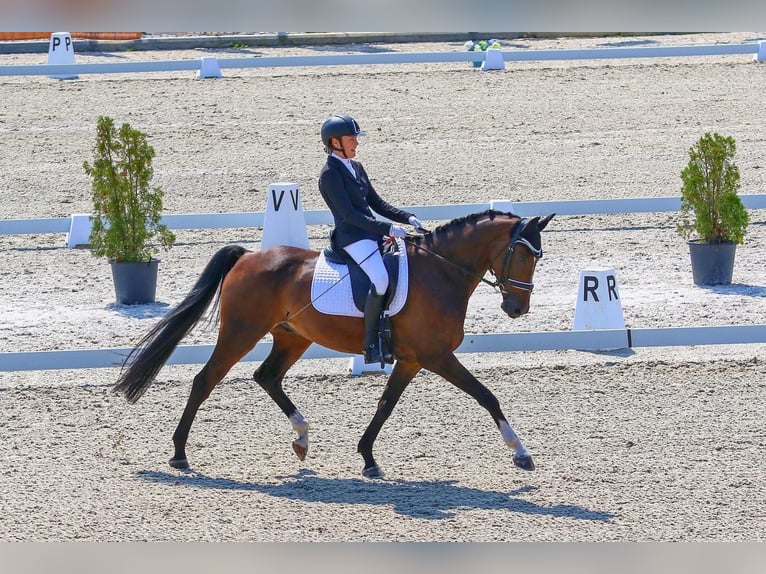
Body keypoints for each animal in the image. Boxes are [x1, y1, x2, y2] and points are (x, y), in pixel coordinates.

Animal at [114, 209, 556, 480]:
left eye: (538, 256)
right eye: (522, 255)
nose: (517, 308)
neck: (441, 272)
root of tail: (247, 257)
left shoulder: (412, 359)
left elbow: (385, 405)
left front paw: (368, 458)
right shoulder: (436, 356)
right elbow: (486, 395)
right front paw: (520, 452)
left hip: (292, 337)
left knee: (267, 376)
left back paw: (301, 437)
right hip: (241, 332)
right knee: (205, 381)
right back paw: (179, 453)